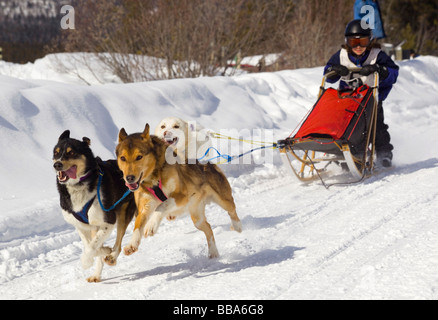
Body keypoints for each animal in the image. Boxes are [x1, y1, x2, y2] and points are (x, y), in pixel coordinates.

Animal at [52, 130, 135, 282]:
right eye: (56, 152)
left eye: (71, 152)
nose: (57, 164)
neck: (78, 186)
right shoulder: (82, 226)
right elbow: (90, 246)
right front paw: (103, 251)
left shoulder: (107, 222)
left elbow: (91, 248)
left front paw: (86, 262)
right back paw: (97, 274)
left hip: (122, 214)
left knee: (118, 243)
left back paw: (111, 257)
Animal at [116, 122, 241, 258]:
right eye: (123, 158)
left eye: (139, 157)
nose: (129, 178)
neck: (154, 177)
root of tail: (208, 164)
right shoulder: (145, 205)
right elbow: (138, 225)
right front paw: (132, 244)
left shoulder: (183, 195)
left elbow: (163, 204)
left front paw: (151, 225)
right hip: (197, 218)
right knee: (208, 228)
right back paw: (213, 252)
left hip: (223, 200)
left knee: (232, 211)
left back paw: (237, 227)